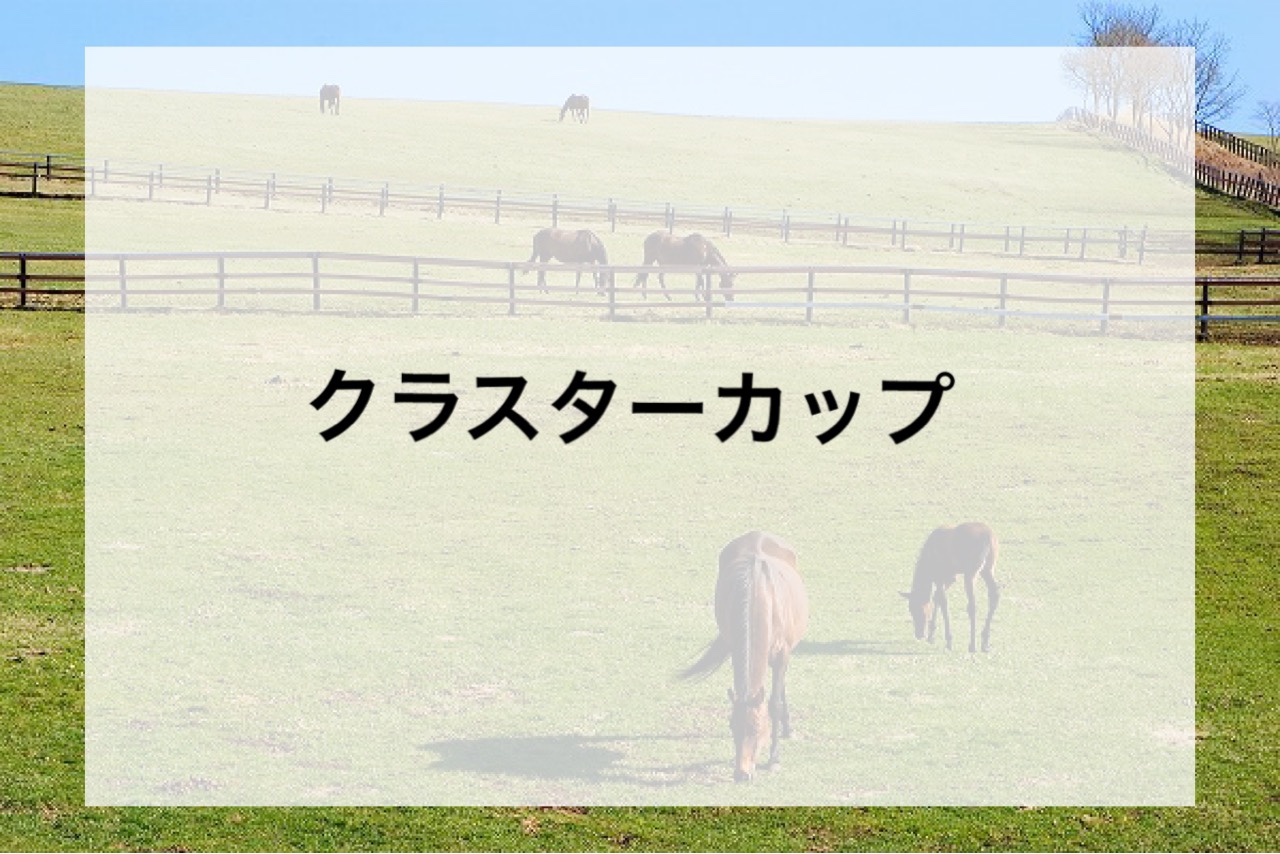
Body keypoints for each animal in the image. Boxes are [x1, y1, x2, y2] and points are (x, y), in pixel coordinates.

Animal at [681, 531, 809, 783]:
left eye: (756, 729)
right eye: (732, 727)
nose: (742, 773)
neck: (760, 595)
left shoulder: (782, 654)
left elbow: (774, 704)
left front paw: (774, 759)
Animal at [900, 522, 1000, 653]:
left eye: (914, 609)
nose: (919, 634)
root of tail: (988, 537)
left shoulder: (939, 577)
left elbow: (943, 602)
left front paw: (948, 640)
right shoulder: (951, 577)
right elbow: (936, 597)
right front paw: (931, 635)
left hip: (971, 573)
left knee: (972, 605)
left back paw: (972, 645)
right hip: (988, 568)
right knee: (994, 594)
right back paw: (985, 641)